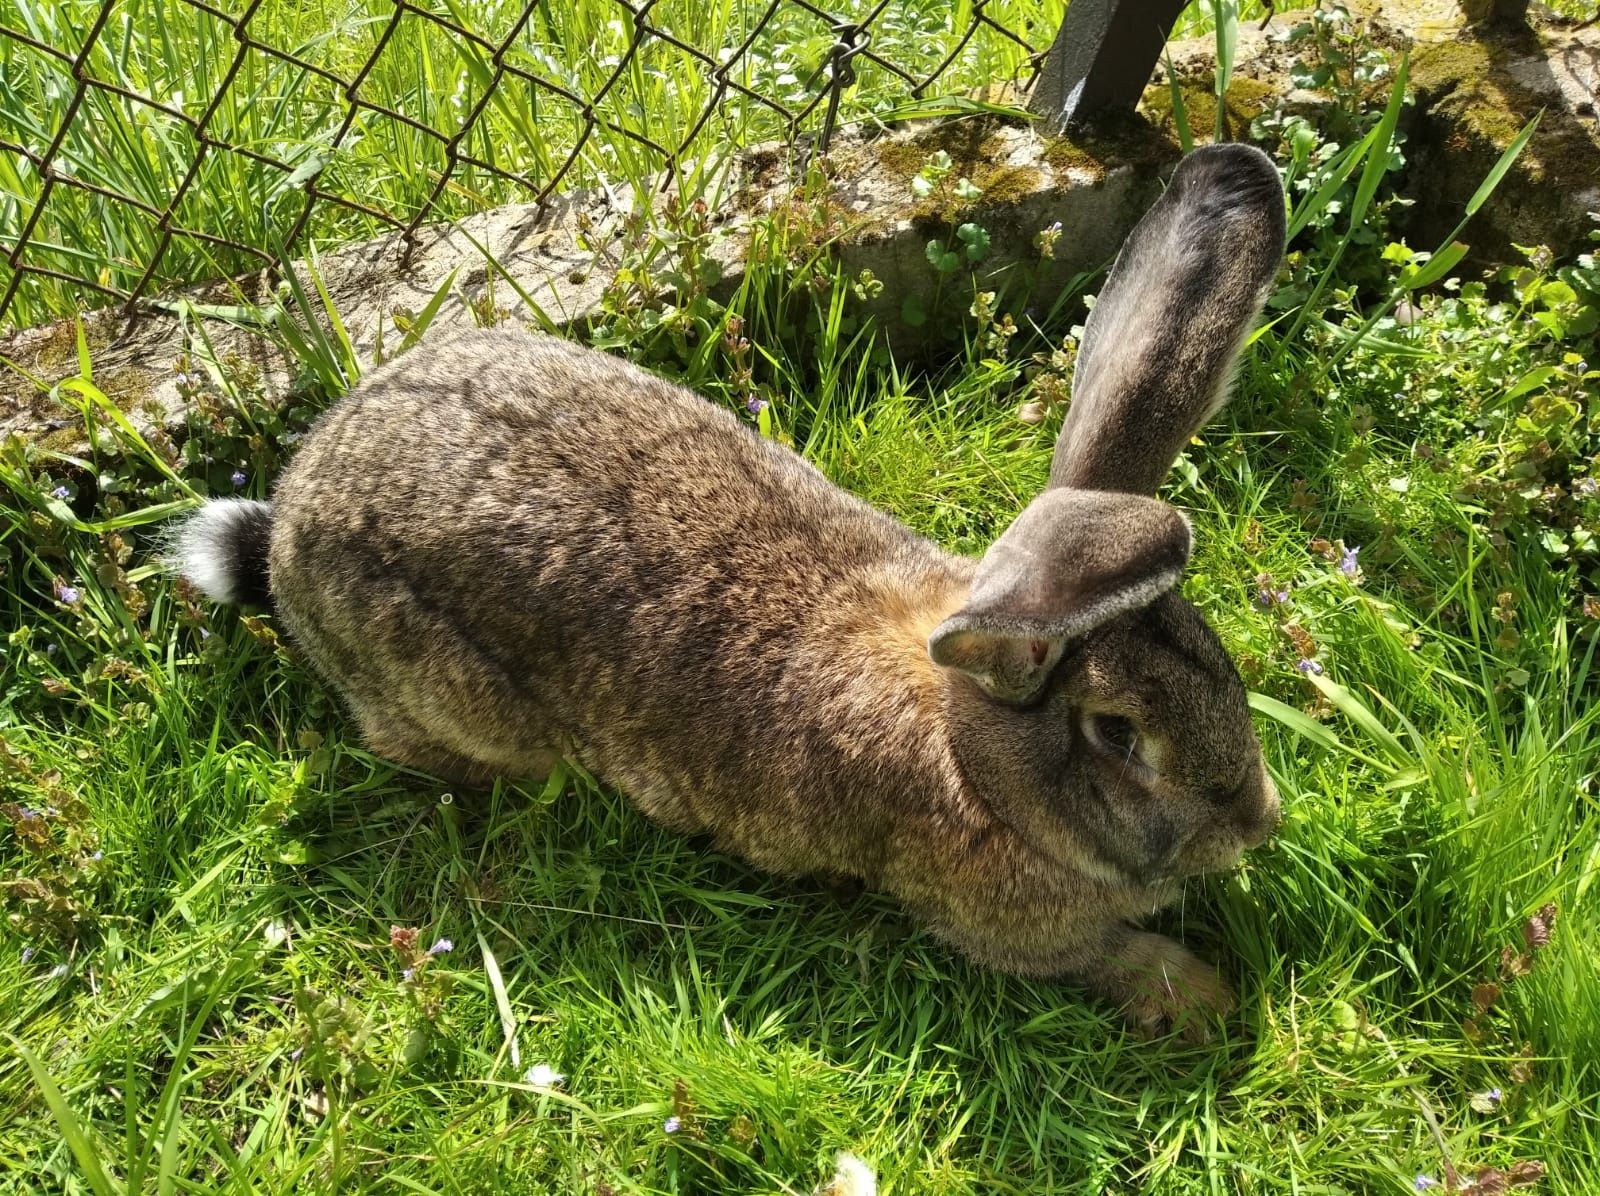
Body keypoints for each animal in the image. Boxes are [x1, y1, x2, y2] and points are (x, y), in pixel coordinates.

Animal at [168, 139, 1280, 1036]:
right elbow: (1100, 954)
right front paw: (1201, 994)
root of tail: (289, 528)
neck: (975, 759)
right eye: (1118, 736)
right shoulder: (1003, 926)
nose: (1258, 823)